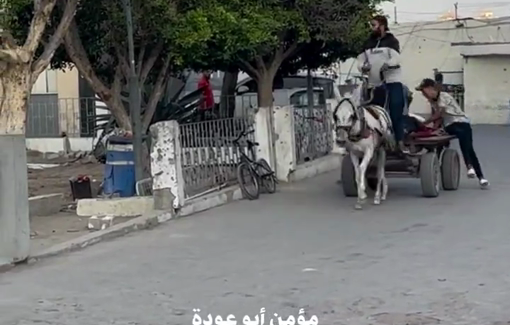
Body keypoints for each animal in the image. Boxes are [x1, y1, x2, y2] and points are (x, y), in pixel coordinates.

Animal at [332, 79, 392, 209]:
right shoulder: (354, 154)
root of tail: (379, 107)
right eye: (336, 116)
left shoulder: (369, 152)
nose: (340, 140)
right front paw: (361, 197)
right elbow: (357, 173)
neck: (358, 131)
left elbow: (362, 168)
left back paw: (378, 196)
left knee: (380, 171)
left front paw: (363, 193)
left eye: (351, 116)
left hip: (381, 149)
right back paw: (383, 191)